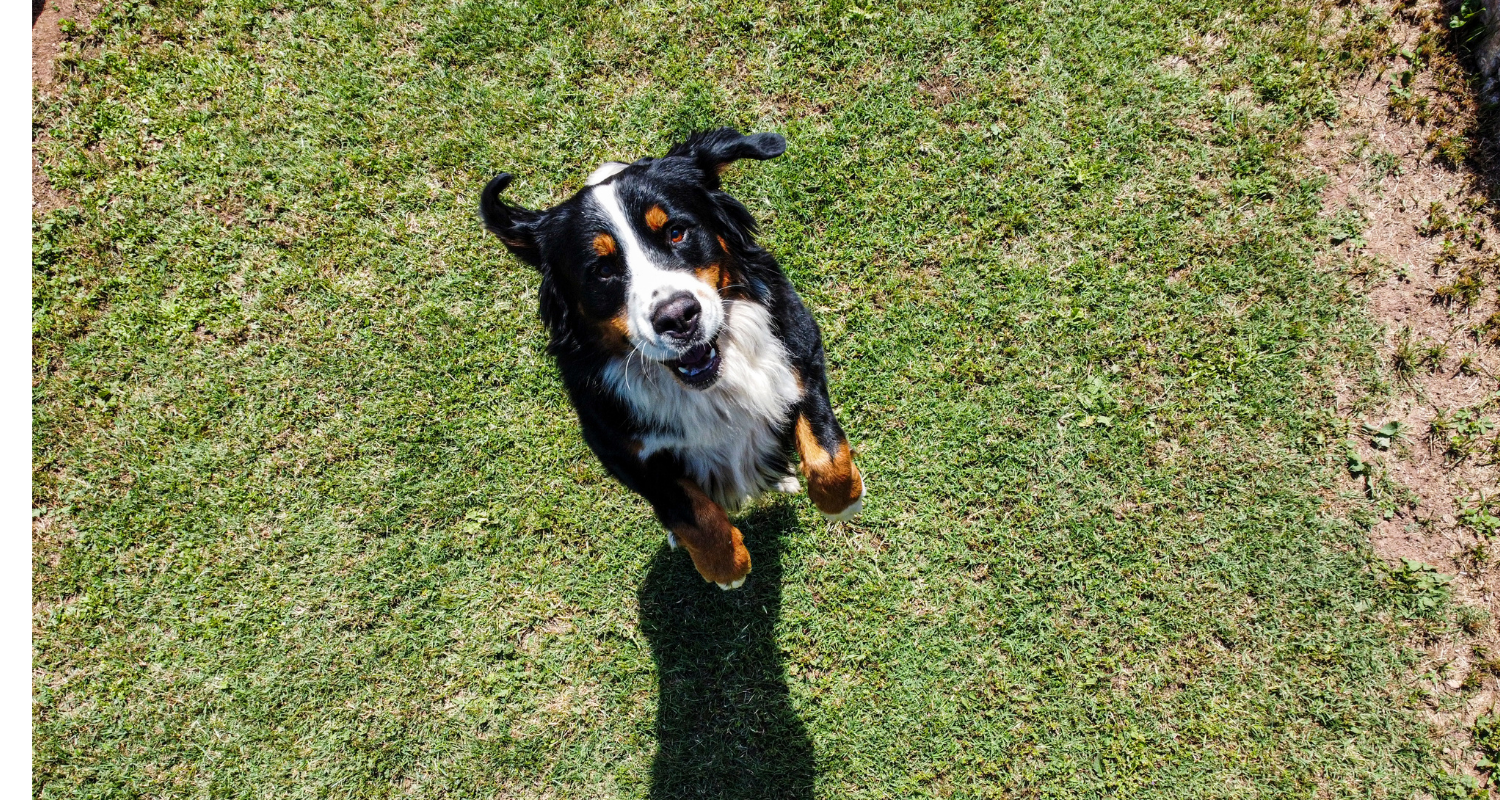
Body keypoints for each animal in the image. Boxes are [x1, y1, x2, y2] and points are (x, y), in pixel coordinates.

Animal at [480, 124, 870, 585]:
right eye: (603, 269)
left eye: (676, 232)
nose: (678, 317)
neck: (712, 387)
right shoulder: (619, 447)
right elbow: (689, 510)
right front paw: (726, 565)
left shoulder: (800, 348)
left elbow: (827, 450)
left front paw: (843, 501)